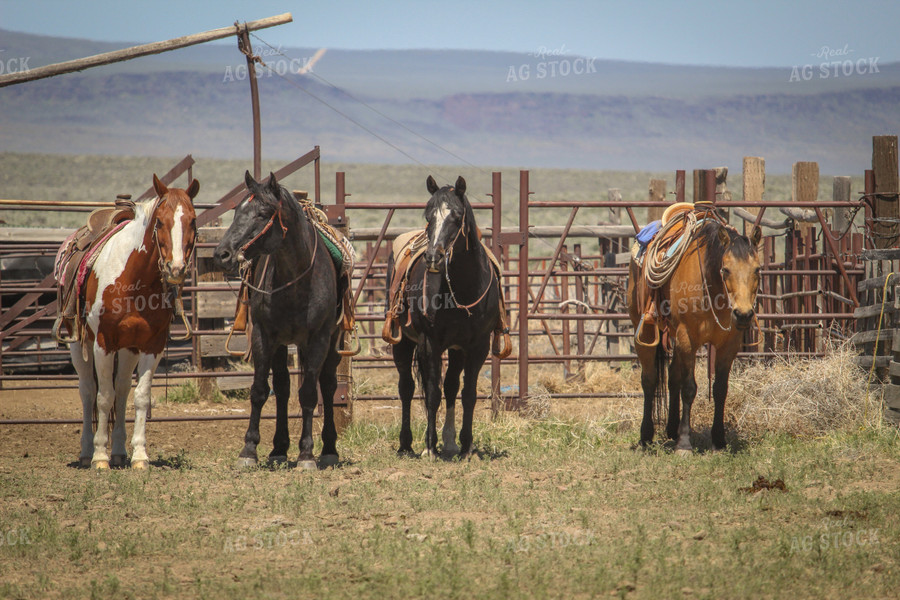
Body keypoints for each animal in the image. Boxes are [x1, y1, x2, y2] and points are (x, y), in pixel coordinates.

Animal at [61, 173, 199, 468]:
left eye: (193, 220)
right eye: (160, 221)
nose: (176, 269)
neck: (135, 278)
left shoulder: (151, 345)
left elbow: (141, 397)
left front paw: (140, 456)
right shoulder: (103, 343)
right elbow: (103, 398)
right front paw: (100, 457)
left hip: (128, 349)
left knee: (123, 389)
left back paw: (119, 452)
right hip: (79, 343)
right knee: (88, 391)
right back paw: (87, 452)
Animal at [213, 171, 346, 472]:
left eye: (263, 214)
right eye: (237, 211)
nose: (222, 254)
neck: (295, 278)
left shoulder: (319, 339)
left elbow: (309, 393)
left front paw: (307, 454)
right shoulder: (264, 336)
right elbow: (260, 390)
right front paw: (249, 450)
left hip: (331, 343)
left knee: (327, 385)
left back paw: (329, 449)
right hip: (282, 344)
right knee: (283, 388)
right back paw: (279, 448)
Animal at [384, 176, 506, 458]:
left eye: (457, 216)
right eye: (428, 216)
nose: (433, 257)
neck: (463, 288)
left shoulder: (477, 346)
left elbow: (467, 393)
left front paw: (466, 446)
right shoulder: (430, 342)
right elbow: (432, 392)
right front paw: (430, 446)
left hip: (456, 349)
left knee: (450, 386)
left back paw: (450, 443)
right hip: (403, 343)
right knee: (407, 388)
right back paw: (407, 444)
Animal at [628, 210, 764, 450]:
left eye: (757, 269)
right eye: (725, 269)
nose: (743, 314)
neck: (710, 284)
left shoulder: (729, 344)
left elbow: (720, 389)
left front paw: (718, 439)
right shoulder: (687, 338)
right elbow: (689, 388)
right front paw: (684, 443)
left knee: (672, 376)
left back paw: (671, 429)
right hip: (645, 332)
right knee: (649, 379)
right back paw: (646, 436)